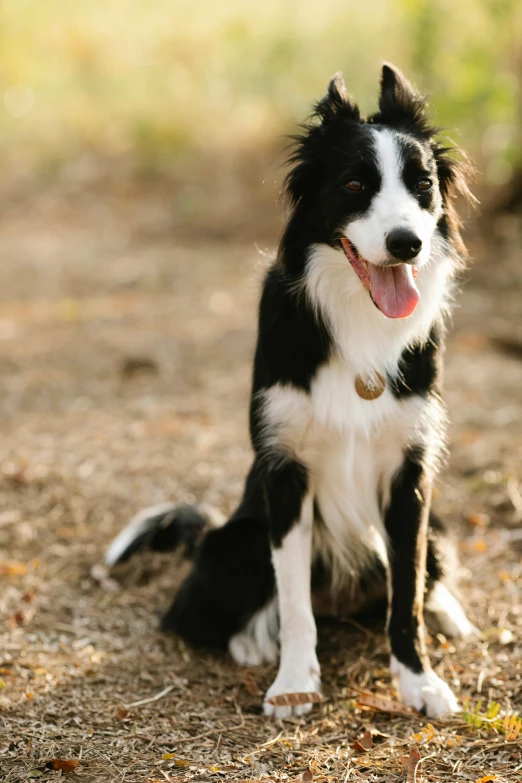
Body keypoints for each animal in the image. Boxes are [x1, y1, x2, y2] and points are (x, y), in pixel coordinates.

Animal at [106, 64, 476, 720]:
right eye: (354, 183)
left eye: (423, 185)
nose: (407, 242)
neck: (356, 319)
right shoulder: (286, 473)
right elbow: (295, 600)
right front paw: (294, 683)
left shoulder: (410, 475)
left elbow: (405, 594)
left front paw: (418, 680)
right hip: (238, 541)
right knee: (213, 612)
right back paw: (252, 642)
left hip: (435, 526)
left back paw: (448, 612)